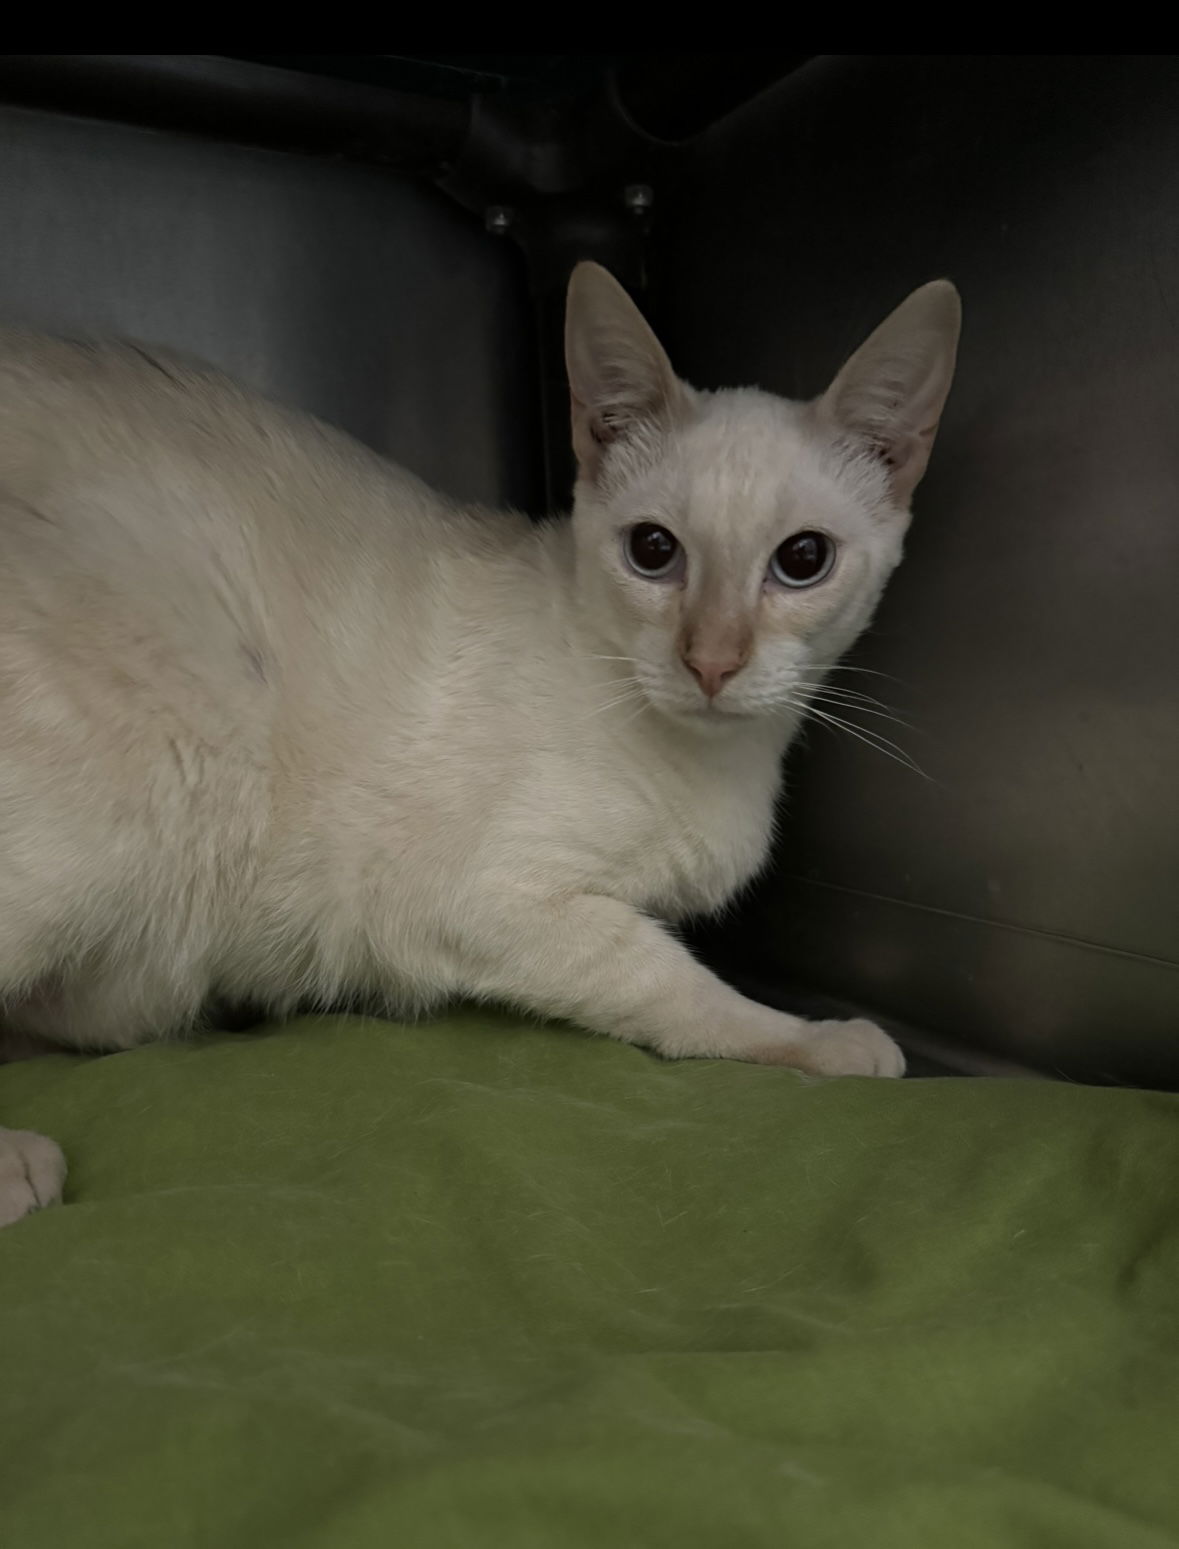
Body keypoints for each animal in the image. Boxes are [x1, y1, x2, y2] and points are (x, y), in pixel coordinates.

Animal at [0, 269, 960, 1233]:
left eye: (802, 560)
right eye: (653, 550)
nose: (712, 661)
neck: (714, 758)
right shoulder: (486, 899)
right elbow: (671, 983)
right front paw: (817, 1041)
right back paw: (17, 1164)